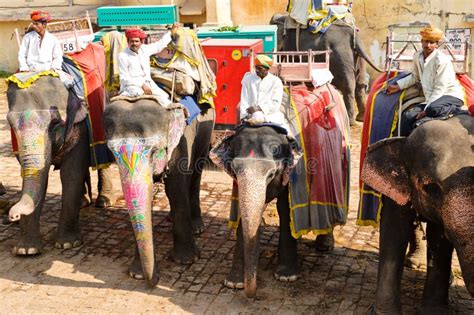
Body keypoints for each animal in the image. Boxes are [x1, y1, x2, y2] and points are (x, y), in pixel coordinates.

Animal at [6, 76, 90, 254]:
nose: (12, 216)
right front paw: (26, 250)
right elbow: (35, 178)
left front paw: (68, 244)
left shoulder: (80, 129)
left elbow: (71, 174)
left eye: (55, 123)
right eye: (11, 123)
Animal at [104, 98, 216, 286]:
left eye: (154, 150)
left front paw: (186, 260)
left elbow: (176, 188)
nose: (154, 281)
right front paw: (137, 274)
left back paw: (197, 227)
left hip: (207, 129)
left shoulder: (182, 140)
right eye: (112, 152)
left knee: (195, 173)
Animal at [209, 126, 302, 298]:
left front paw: (287, 277)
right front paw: (234, 283)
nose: (252, 293)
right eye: (234, 170)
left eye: (271, 174)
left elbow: (285, 207)